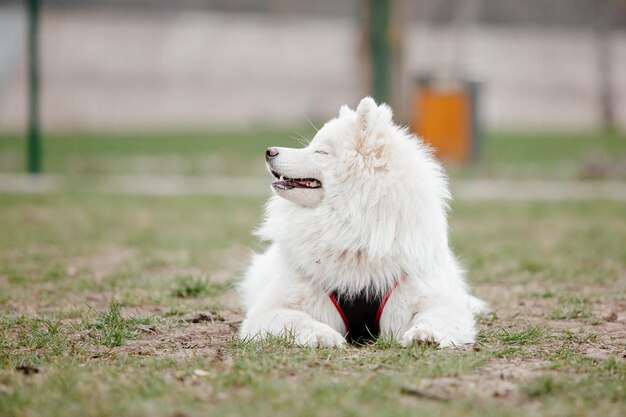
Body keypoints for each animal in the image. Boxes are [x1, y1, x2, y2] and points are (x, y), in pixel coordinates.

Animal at [236, 96, 486, 346]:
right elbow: (301, 321)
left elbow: (434, 318)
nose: (269, 151)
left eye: (320, 152)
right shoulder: (271, 309)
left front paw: (422, 334)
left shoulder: (433, 297)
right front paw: (324, 335)